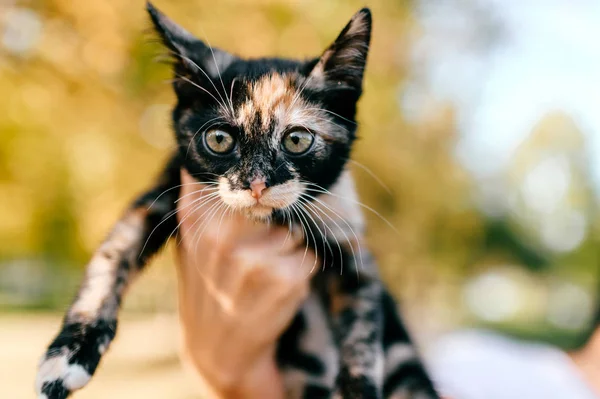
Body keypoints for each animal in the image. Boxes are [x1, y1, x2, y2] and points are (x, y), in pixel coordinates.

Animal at [36, 3, 440, 399]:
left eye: (296, 140)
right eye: (219, 139)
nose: (256, 183)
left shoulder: (349, 239)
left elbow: (363, 324)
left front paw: (358, 386)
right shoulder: (160, 194)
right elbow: (111, 259)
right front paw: (68, 355)